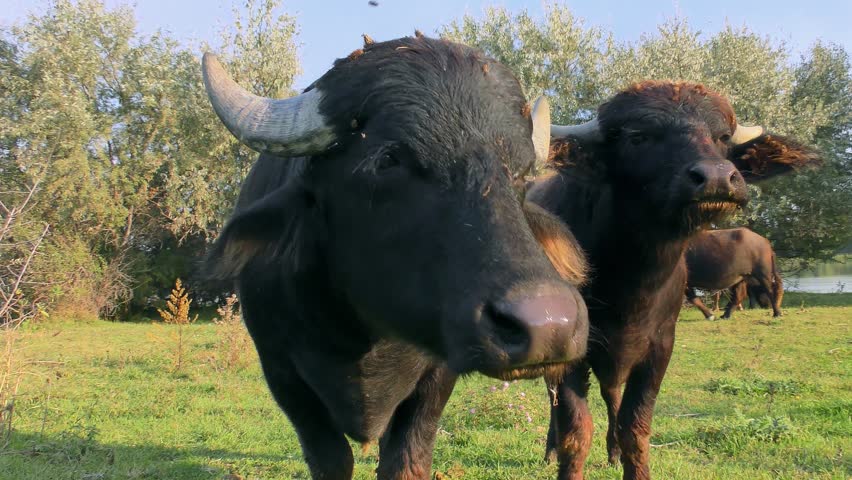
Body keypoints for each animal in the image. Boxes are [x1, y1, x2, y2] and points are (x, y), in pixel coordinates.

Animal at [203, 35, 589, 479]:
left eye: (522, 171)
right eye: (387, 159)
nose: (549, 325)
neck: (363, 335)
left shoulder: (438, 373)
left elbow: (406, 458)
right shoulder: (280, 371)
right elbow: (330, 459)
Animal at [527, 81, 819, 480]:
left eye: (722, 137)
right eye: (638, 137)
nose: (716, 177)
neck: (631, 286)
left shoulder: (659, 347)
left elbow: (635, 428)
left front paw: (625, 454)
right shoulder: (574, 351)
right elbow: (576, 430)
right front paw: (563, 450)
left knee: (611, 395)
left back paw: (612, 451)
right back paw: (550, 449)